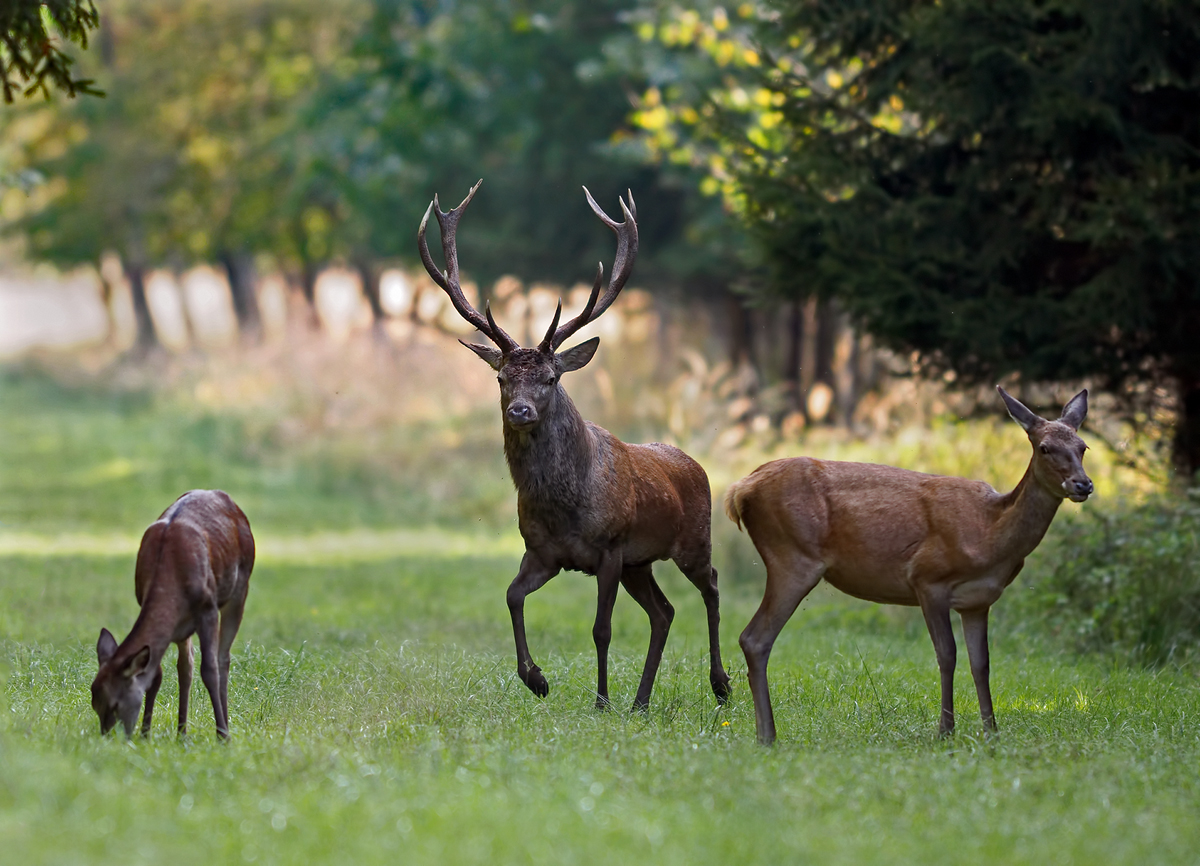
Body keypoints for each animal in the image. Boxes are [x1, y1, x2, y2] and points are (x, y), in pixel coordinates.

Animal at [91, 489, 255, 738]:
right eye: (94, 704)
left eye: (115, 704)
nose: (108, 737)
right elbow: (157, 673)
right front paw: (145, 734)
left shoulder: (207, 608)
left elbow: (209, 670)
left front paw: (222, 736)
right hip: (183, 628)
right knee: (185, 666)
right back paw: (181, 733)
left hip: (240, 587)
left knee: (223, 658)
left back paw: (223, 727)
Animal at [412, 178, 729, 705]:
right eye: (501, 378)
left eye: (550, 377)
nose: (520, 411)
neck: (566, 506)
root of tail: (695, 464)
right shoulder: (542, 552)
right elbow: (511, 595)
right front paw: (536, 678)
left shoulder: (610, 549)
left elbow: (601, 629)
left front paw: (600, 701)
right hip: (641, 563)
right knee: (663, 612)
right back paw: (641, 703)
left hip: (691, 540)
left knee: (712, 588)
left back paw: (720, 684)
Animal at [724, 386, 1094, 743]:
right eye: (1044, 448)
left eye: (1083, 446)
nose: (1083, 484)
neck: (989, 533)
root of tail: (739, 489)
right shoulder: (927, 578)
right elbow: (947, 654)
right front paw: (945, 731)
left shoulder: (978, 601)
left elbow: (981, 663)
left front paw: (992, 732)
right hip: (792, 557)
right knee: (754, 638)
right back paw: (767, 735)